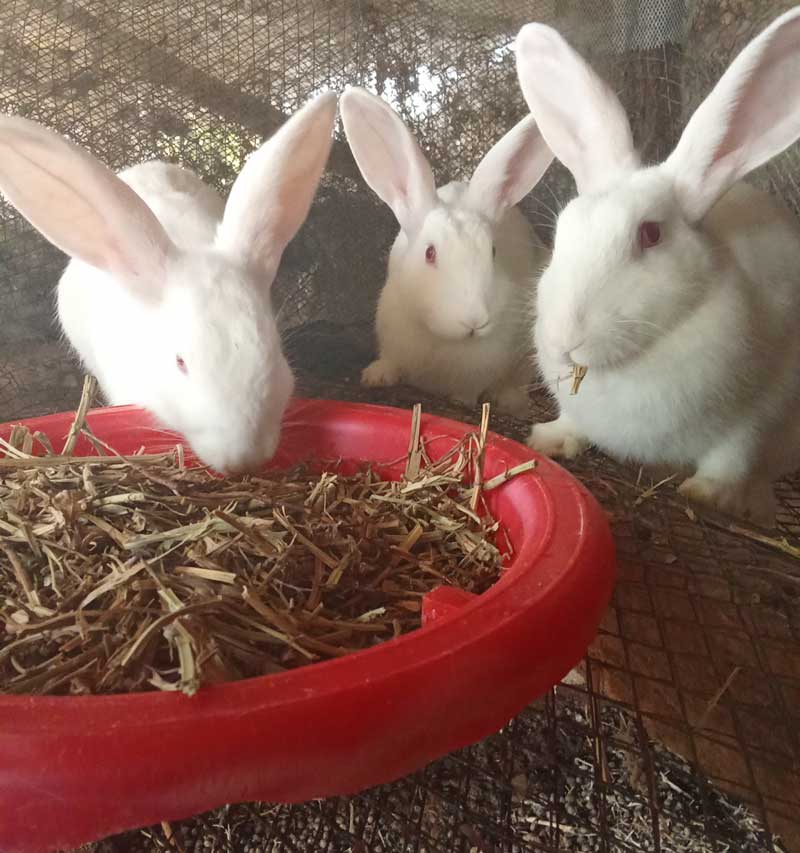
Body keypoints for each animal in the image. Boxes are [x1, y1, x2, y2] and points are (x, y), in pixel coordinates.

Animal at [339, 86, 554, 417]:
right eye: (429, 253)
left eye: (493, 252)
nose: (474, 321)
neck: (440, 338)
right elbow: (390, 362)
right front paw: (375, 377)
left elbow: (468, 391)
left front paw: (461, 401)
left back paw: (510, 399)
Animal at [514, 7, 800, 525]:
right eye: (563, 229)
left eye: (650, 234)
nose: (565, 340)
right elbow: (573, 422)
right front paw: (550, 438)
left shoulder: (765, 407)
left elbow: (735, 451)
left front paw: (709, 494)